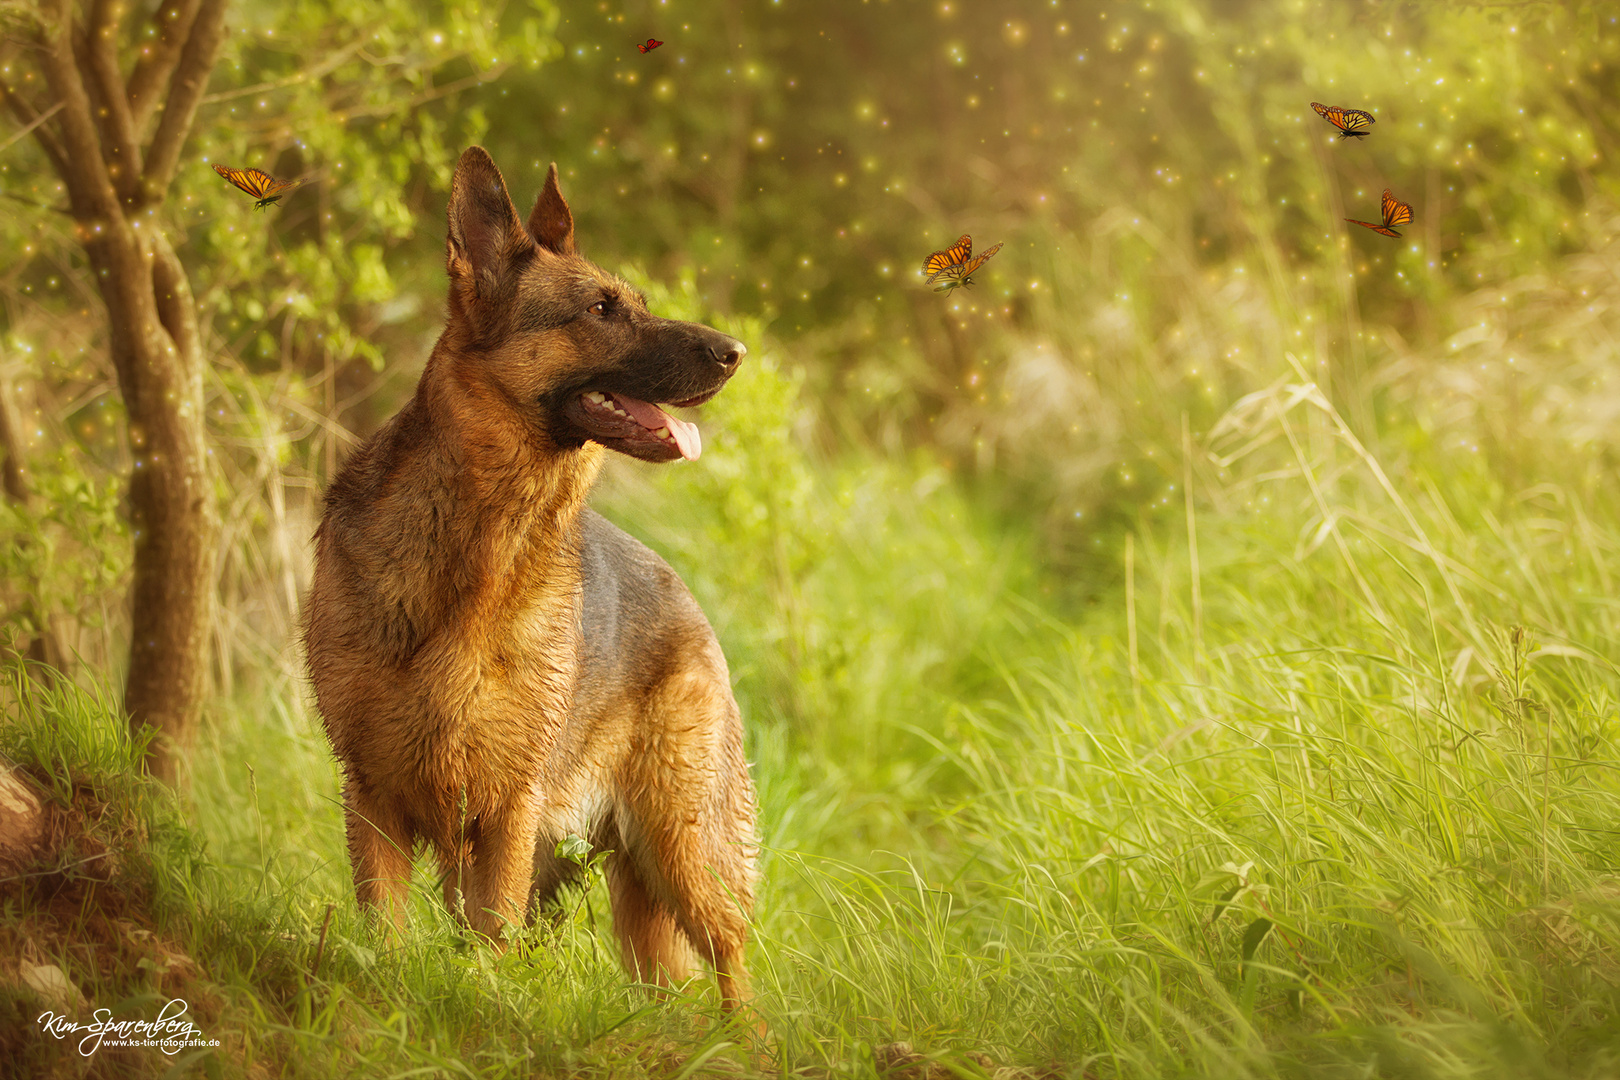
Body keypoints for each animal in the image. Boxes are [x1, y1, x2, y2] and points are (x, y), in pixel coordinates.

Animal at [304, 148, 758, 1010]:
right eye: (602, 309)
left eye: (638, 303)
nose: (735, 352)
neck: (483, 546)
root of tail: (692, 605)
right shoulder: (372, 796)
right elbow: (384, 936)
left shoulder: (509, 812)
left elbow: (491, 945)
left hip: (684, 847)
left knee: (734, 958)